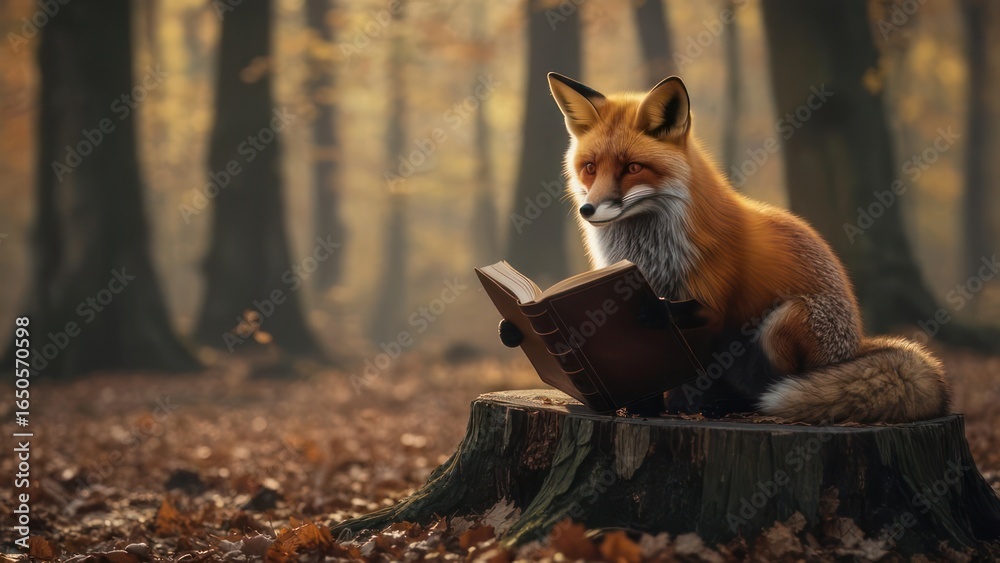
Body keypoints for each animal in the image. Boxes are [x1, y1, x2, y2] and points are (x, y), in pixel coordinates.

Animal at [546, 72, 949, 424]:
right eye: (590, 168)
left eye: (632, 168)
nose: (588, 209)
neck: (651, 251)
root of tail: (856, 345)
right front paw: (645, 404)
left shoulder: (712, 304)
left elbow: (693, 356)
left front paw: (674, 403)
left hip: (784, 322)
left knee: (773, 388)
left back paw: (731, 406)